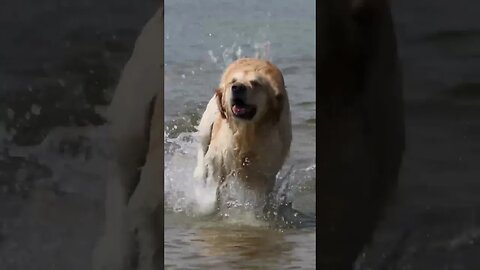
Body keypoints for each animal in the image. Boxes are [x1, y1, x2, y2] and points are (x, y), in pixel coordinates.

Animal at [192, 58, 290, 214]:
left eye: (256, 83)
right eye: (233, 81)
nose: (237, 87)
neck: (246, 133)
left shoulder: (265, 170)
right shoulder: (220, 158)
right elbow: (214, 189)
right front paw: (211, 208)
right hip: (207, 124)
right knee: (202, 151)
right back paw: (199, 173)